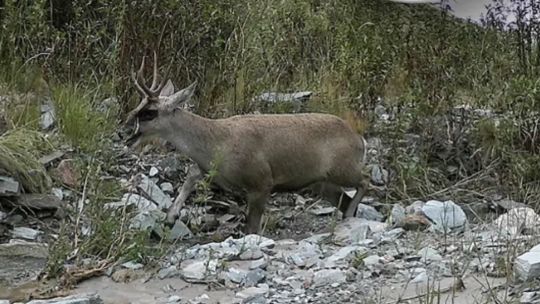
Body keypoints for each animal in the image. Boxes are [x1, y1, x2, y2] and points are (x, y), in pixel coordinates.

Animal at [123, 52, 370, 233]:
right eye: (138, 106)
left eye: (149, 113)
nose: (124, 133)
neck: (217, 142)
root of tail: (359, 140)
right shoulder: (210, 170)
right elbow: (191, 176)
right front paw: (170, 217)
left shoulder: (262, 181)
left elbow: (252, 227)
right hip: (323, 183)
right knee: (347, 197)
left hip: (342, 169)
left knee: (366, 182)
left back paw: (350, 216)